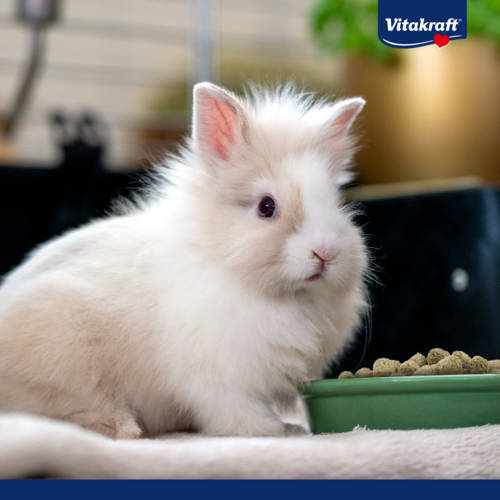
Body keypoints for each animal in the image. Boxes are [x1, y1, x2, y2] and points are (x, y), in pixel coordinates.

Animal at [0, 83, 369, 439]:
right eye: (267, 207)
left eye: (336, 203)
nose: (325, 253)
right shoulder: (220, 375)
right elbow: (234, 411)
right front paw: (273, 431)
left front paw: (289, 427)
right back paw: (121, 428)